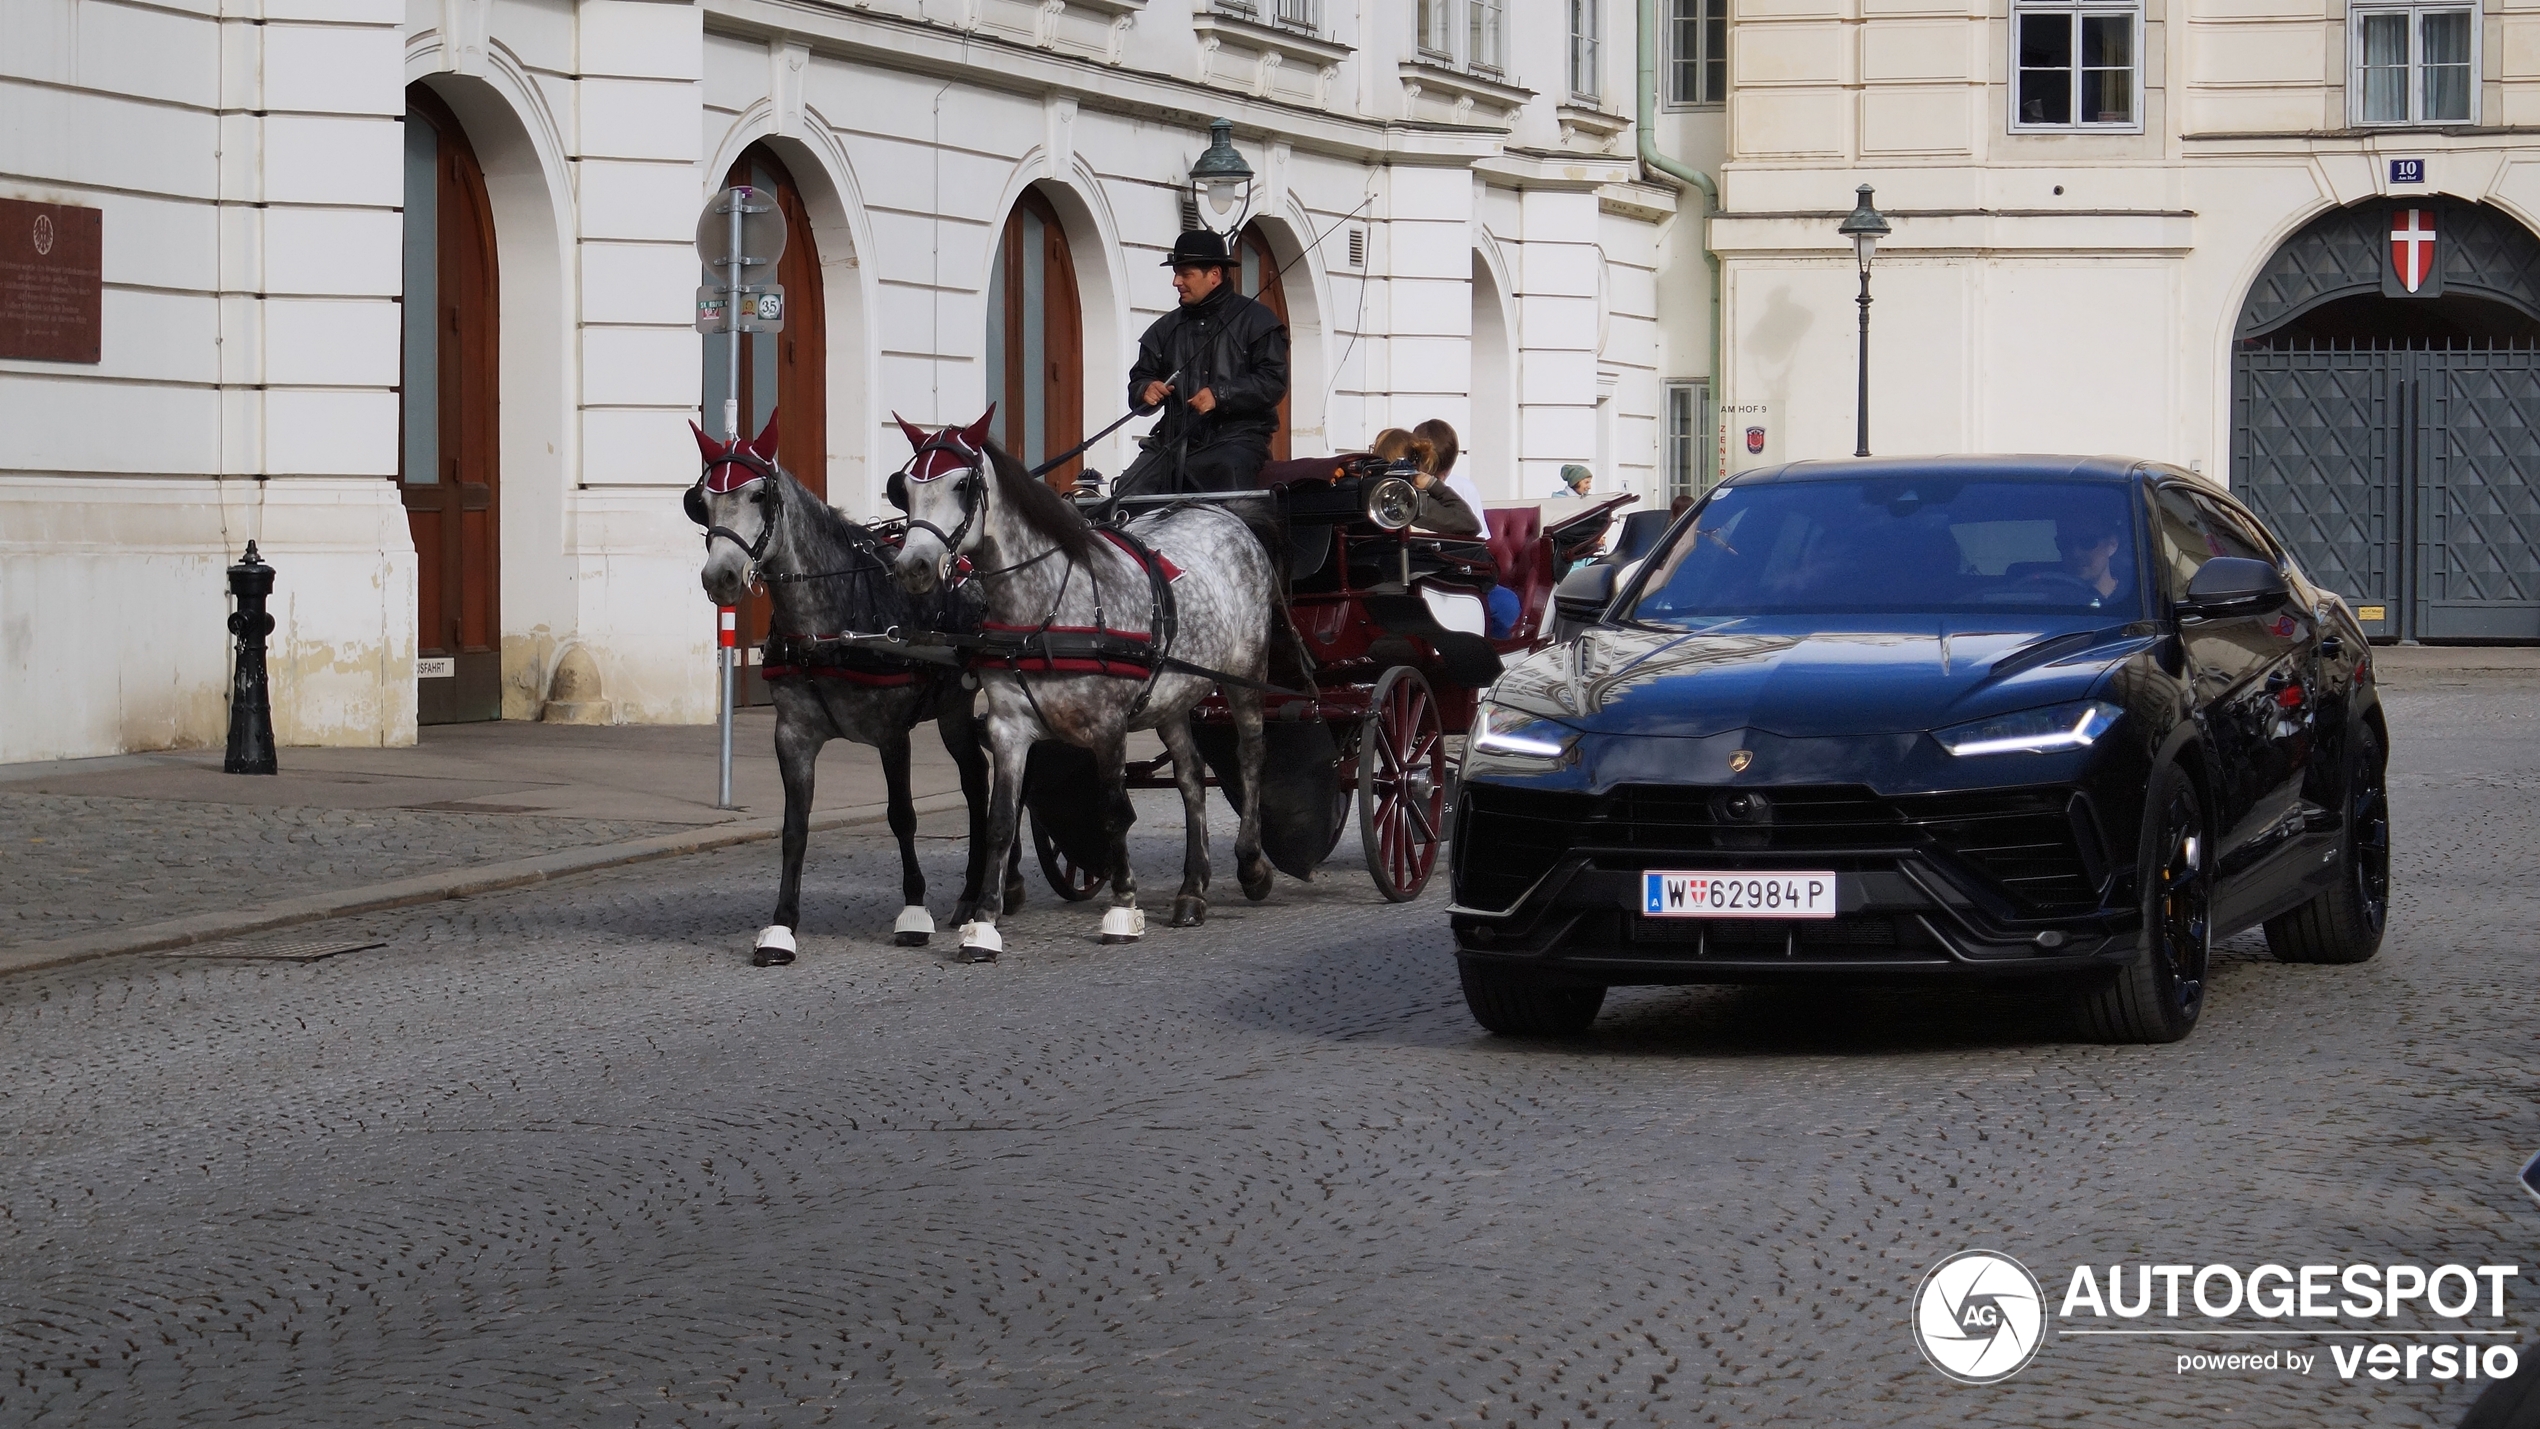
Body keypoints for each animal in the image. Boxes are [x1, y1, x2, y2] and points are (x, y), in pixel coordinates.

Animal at [701, 418, 1016, 969]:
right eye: (700, 500)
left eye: (759, 494)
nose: (719, 576)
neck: (828, 626)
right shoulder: (792, 735)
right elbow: (794, 828)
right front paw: (781, 926)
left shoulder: (892, 733)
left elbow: (902, 817)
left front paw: (913, 911)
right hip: (953, 707)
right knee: (977, 776)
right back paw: (972, 895)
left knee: (979, 778)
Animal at [894, 408, 1290, 954]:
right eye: (905, 488)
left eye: (960, 485)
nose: (911, 566)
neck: (1046, 610)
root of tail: (1225, 514)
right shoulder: (1009, 728)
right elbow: (1000, 822)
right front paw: (985, 919)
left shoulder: (1108, 726)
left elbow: (1113, 814)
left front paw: (1123, 905)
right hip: (1170, 698)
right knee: (1191, 777)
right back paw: (1192, 889)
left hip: (1245, 673)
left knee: (1250, 754)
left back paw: (1251, 863)